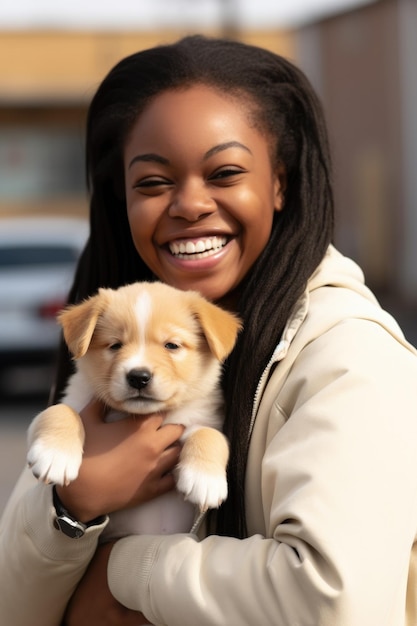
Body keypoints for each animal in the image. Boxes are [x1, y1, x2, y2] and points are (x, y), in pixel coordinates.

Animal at [27, 280, 240, 532]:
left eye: (172, 345)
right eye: (115, 345)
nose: (139, 377)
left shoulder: (199, 419)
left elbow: (210, 434)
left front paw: (204, 479)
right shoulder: (74, 399)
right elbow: (59, 410)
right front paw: (55, 456)